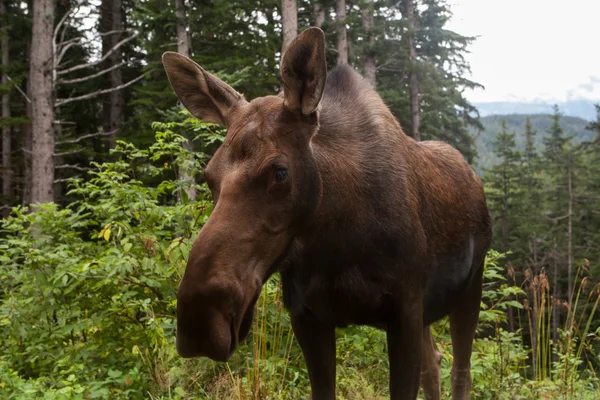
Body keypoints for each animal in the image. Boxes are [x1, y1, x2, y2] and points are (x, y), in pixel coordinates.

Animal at [161, 26, 492, 398]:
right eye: (208, 176)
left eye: (280, 172)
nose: (199, 319)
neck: (336, 243)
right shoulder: (307, 315)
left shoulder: (405, 307)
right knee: (433, 364)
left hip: (471, 286)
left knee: (460, 371)